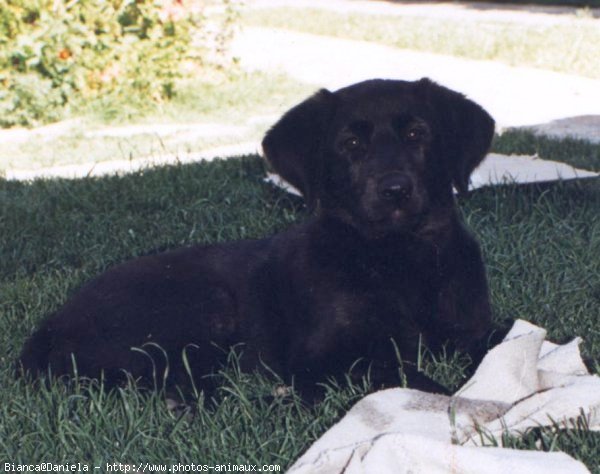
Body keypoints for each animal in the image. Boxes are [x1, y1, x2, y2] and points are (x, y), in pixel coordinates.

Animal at [18, 78, 496, 400]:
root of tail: (50, 325)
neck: (399, 257)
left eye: (417, 134)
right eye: (351, 144)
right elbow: (415, 381)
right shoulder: (324, 356)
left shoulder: (474, 330)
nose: (395, 189)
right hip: (205, 302)